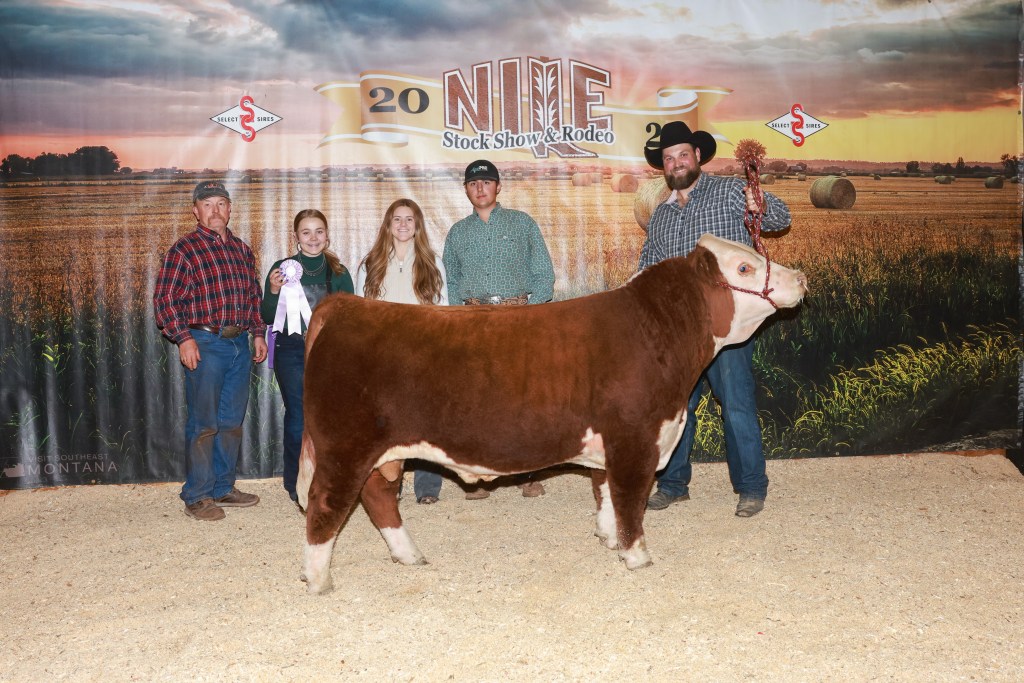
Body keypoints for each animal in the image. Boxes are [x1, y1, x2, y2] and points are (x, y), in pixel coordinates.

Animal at [297, 234, 808, 594]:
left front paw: (608, 539)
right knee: (325, 504)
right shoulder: (635, 438)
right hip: (346, 444)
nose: (801, 278)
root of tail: (345, 305)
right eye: (744, 266)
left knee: (377, 497)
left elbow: (605, 493)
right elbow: (630, 499)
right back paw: (319, 579)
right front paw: (636, 556)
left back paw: (409, 555)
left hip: (379, 451)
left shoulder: (611, 443)